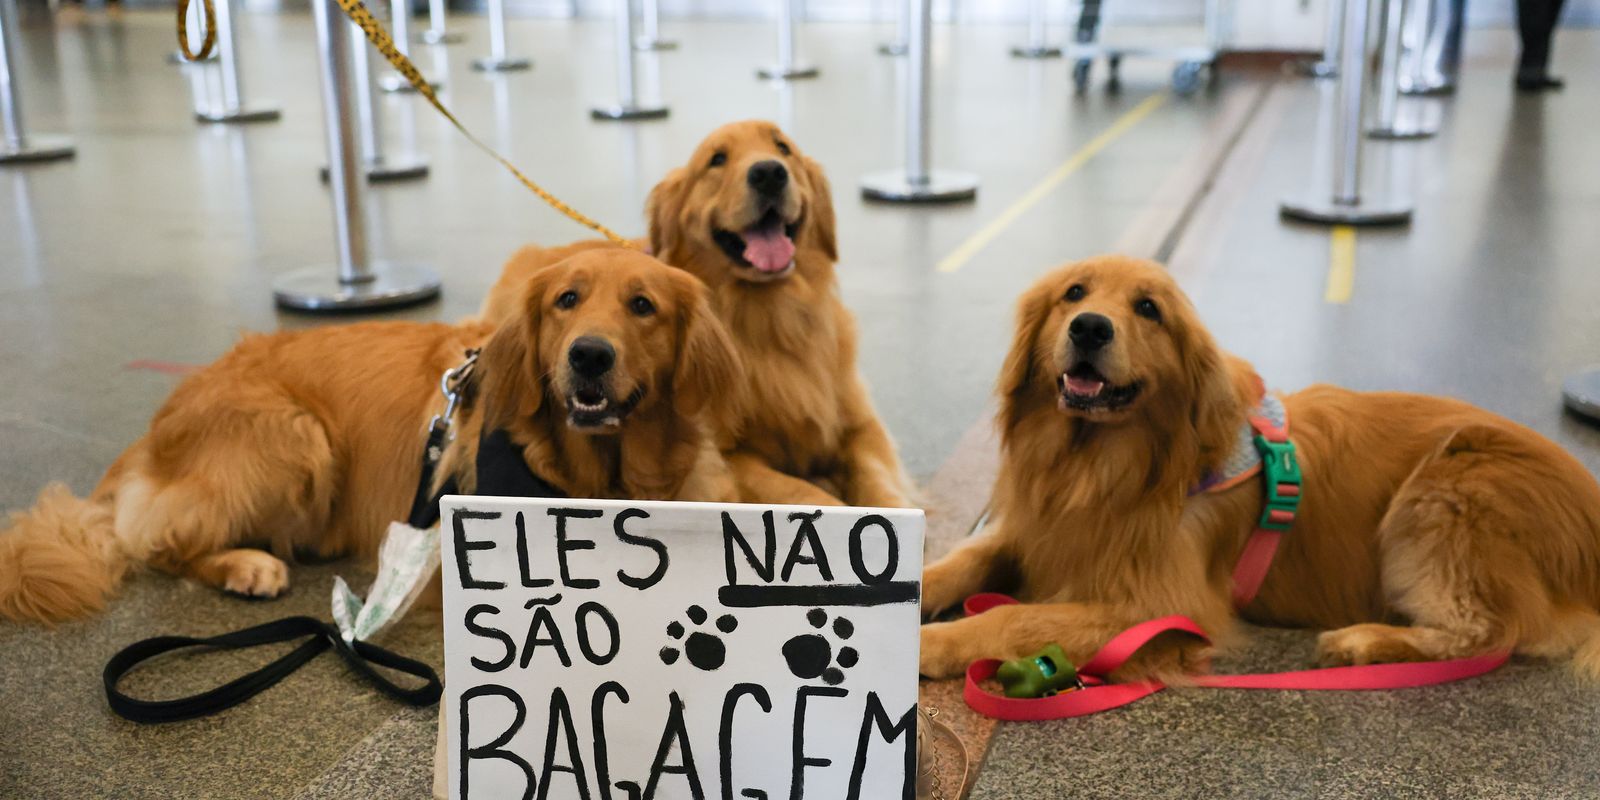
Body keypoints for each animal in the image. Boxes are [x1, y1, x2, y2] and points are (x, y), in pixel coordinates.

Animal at [0, 249, 736, 624]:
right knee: (159, 543)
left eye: (642, 306)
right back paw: (247, 566)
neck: (599, 476)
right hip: (295, 435)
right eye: (567, 301)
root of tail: (157, 426)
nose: (588, 356)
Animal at [476, 118, 915, 505]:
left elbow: (880, 482)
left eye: (783, 147)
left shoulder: (859, 426)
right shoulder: (727, 455)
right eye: (717, 159)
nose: (769, 173)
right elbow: (805, 492)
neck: (770, 319)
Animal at [915, 256, 1600, 681]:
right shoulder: (1032, 530)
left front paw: (930, 643)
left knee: (1489, 630)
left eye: (1148, 308)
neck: (1097, 466)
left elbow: (1014, 615)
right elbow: (960, 562)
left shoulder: (1160, 605)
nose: (1089, 328)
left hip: (1447, 487)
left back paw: (1363, 641)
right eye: (1074, 294)